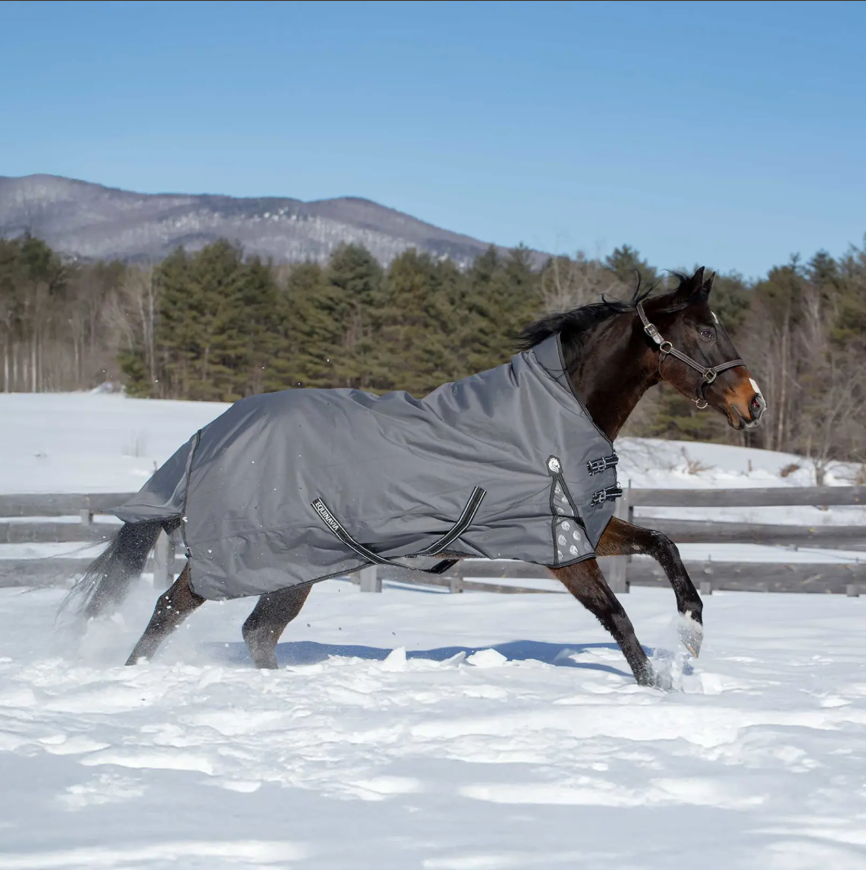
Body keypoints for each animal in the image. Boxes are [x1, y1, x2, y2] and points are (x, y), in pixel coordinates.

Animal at [59, 266, 765, 688]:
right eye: (703, 331)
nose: (752, 403)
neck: (553, 411)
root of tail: (209, 435)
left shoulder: (581, 527)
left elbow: (664, 545)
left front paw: (692, 636)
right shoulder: (559, 547)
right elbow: (616, 617)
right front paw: (657, 685)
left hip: (294, 569)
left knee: (256, 631)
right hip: (248, 560)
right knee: (170, 608)